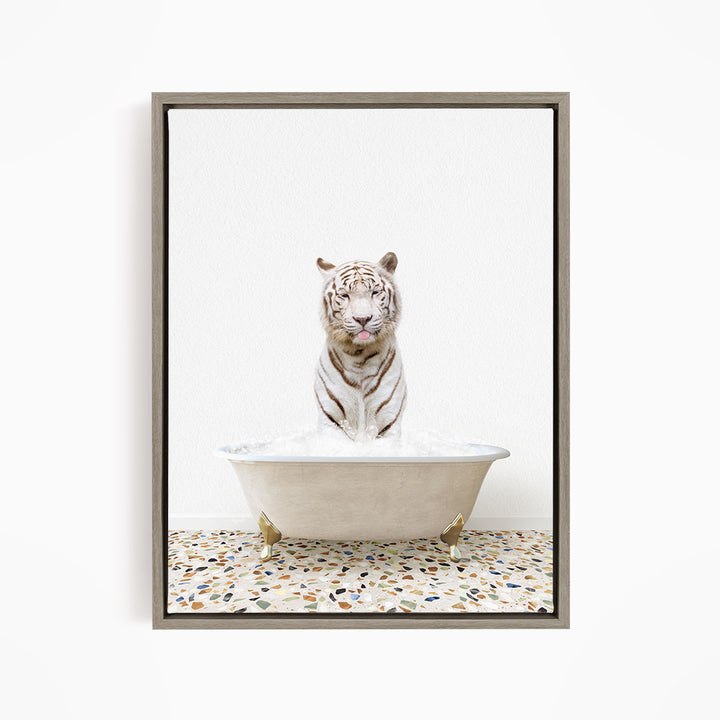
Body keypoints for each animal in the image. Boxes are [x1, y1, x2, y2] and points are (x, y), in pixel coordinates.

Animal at [314, 252, 407, 441]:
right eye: (344, 295)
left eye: (375, 292)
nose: (363, 319)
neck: (359, 356)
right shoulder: (331, 418)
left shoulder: (388, 421)